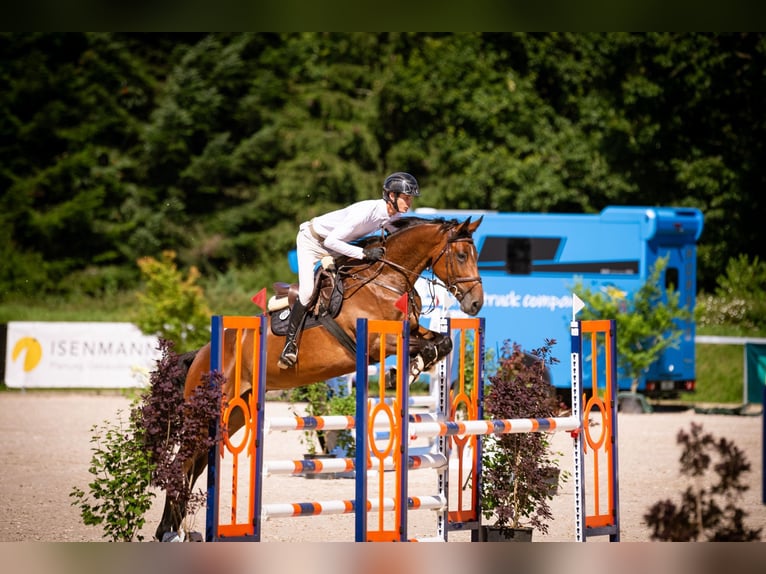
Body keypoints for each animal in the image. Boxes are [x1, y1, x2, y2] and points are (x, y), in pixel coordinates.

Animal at [153, 215, 484, 540]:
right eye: (461, 255)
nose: (476, 304)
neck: (385, 281)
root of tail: (201, 353)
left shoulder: (412, 330)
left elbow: (442, 341)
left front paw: (412, 368)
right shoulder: (378, 342)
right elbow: (423, 344)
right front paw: (401, 372)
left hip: (231, 414)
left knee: (195, 464)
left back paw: (178, 529)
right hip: (204, 411)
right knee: (181, 463)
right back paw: (167, 531)